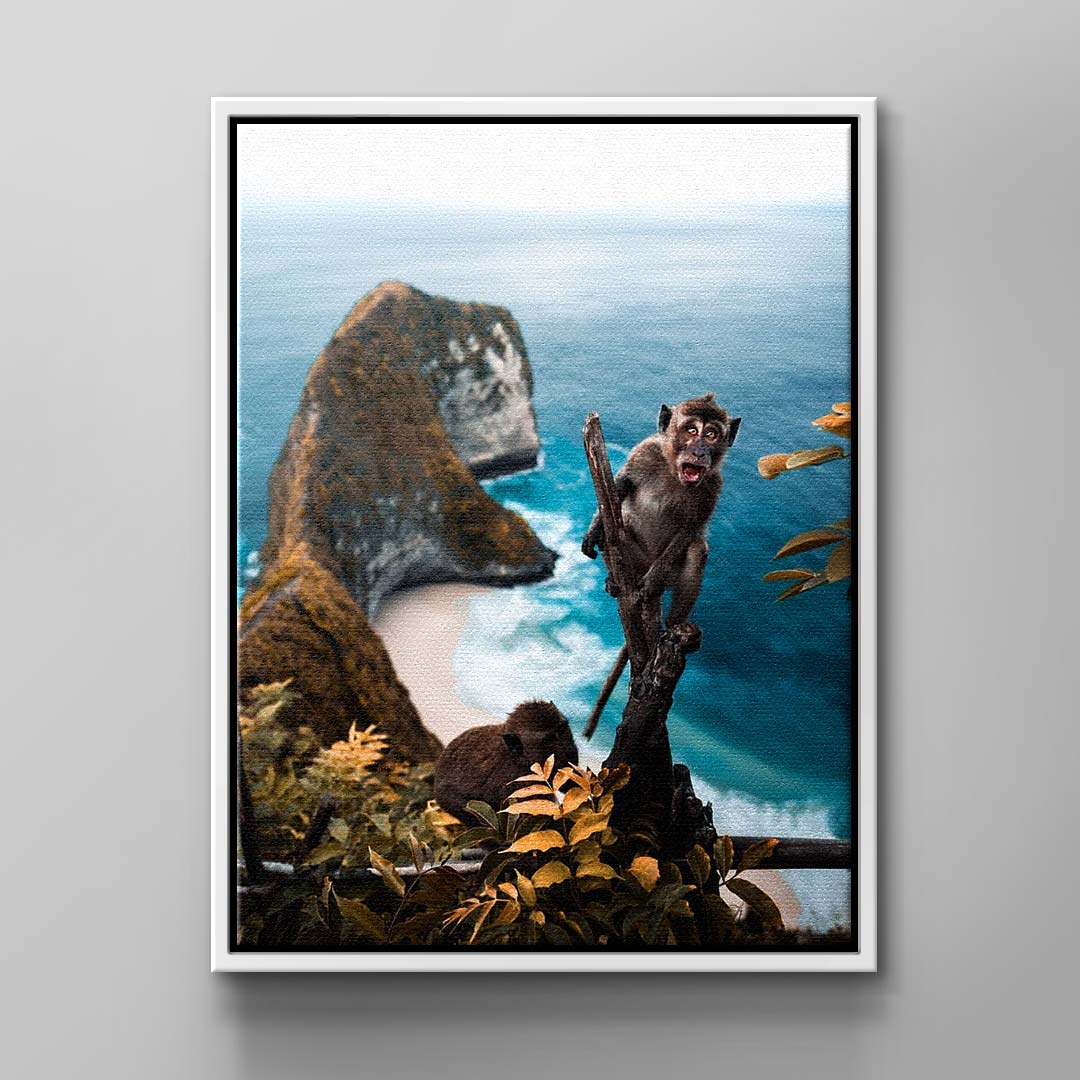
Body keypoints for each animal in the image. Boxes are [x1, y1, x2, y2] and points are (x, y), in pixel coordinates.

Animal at [580, 392, 740, 738]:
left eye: (711, 434)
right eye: (691, 431)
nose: (700, 451)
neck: (671, 469)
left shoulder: (713, 485)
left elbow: (691, 530)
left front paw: (653, 585)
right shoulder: (645, 453)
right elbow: (621, 487)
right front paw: (594, 529)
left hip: (667, 573)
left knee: (696, 550)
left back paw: (674, 621)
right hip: (633, 559)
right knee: (617, 529)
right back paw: (614, 581)